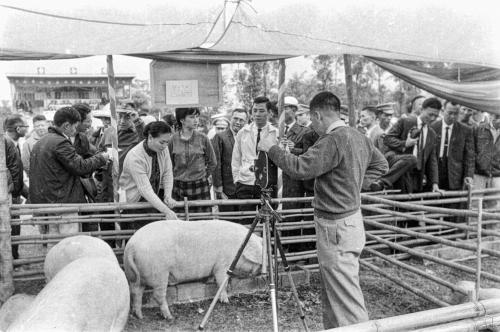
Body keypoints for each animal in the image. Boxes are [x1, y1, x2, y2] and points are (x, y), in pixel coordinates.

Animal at [123, 219, 262, 320]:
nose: (260, 273)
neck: (240, 249)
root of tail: (131, 246)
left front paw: (208, 281)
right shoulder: (223, 264)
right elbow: (222, 282)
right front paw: (226, 301)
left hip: (134, 276)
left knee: (135, 293)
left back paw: (140, 316)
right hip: (159, 273)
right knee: (157, 295)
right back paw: (170, 317)